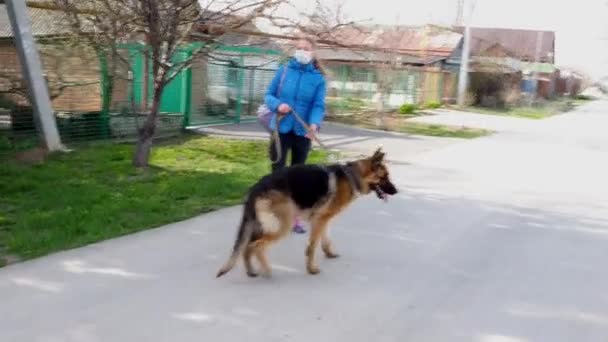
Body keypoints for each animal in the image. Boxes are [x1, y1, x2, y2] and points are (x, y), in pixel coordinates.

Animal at [216, 147, 396, 278]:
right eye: (384, 177)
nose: (396, 191)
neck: (353, 176)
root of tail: (256, 187)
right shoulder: (320, 220)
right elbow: (312, 247)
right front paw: (311, 269)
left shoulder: (323, 219)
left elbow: (325, 238)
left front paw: (329, 253)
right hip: (282, 226)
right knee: (255, 246)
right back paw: (266, 270)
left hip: (265, 225)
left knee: (247, 247)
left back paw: (251, 271)